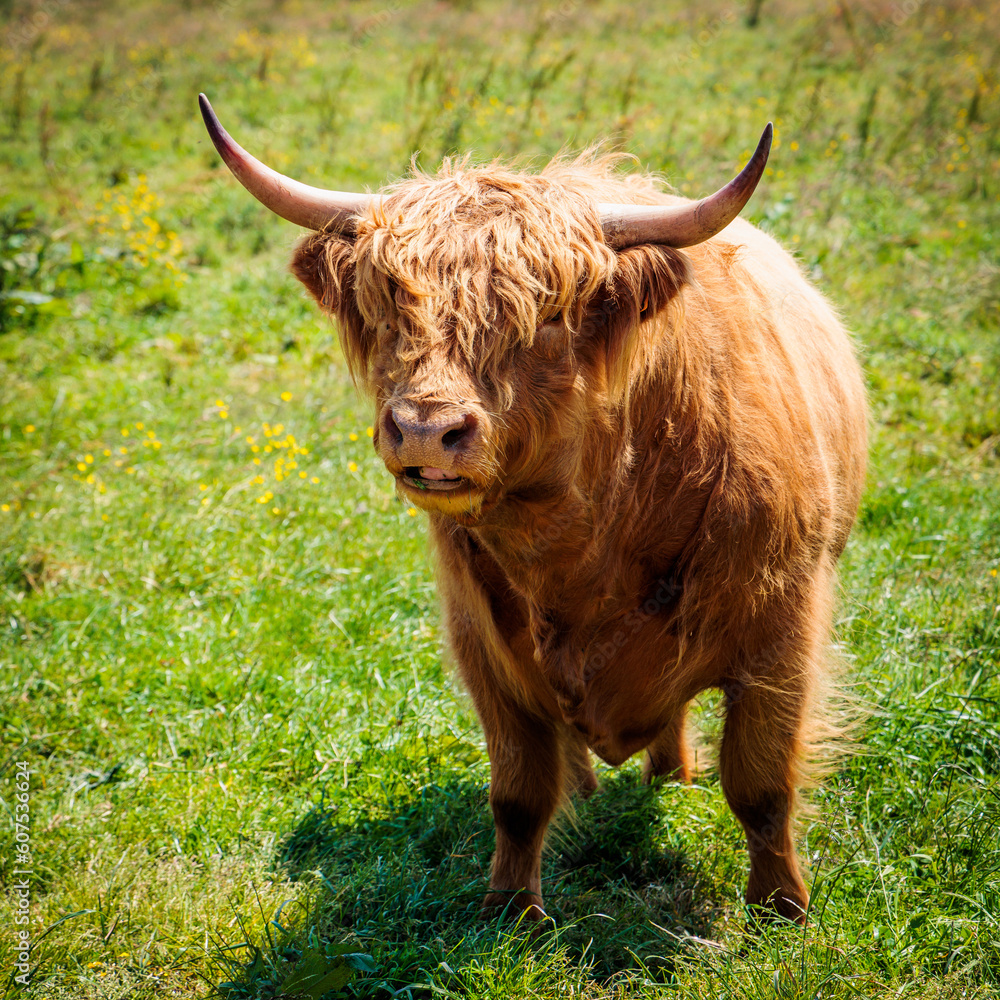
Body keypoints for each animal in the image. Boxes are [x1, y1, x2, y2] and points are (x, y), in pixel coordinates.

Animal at [201, 97, 868, 924]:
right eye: (390, 309)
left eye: (548, 316)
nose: (426, 428)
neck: (586, 538)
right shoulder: (483, 642)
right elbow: (518, 790)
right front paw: (511, 909)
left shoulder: (781, 631)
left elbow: (761, 784)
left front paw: (782, 909)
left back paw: (672, 777)